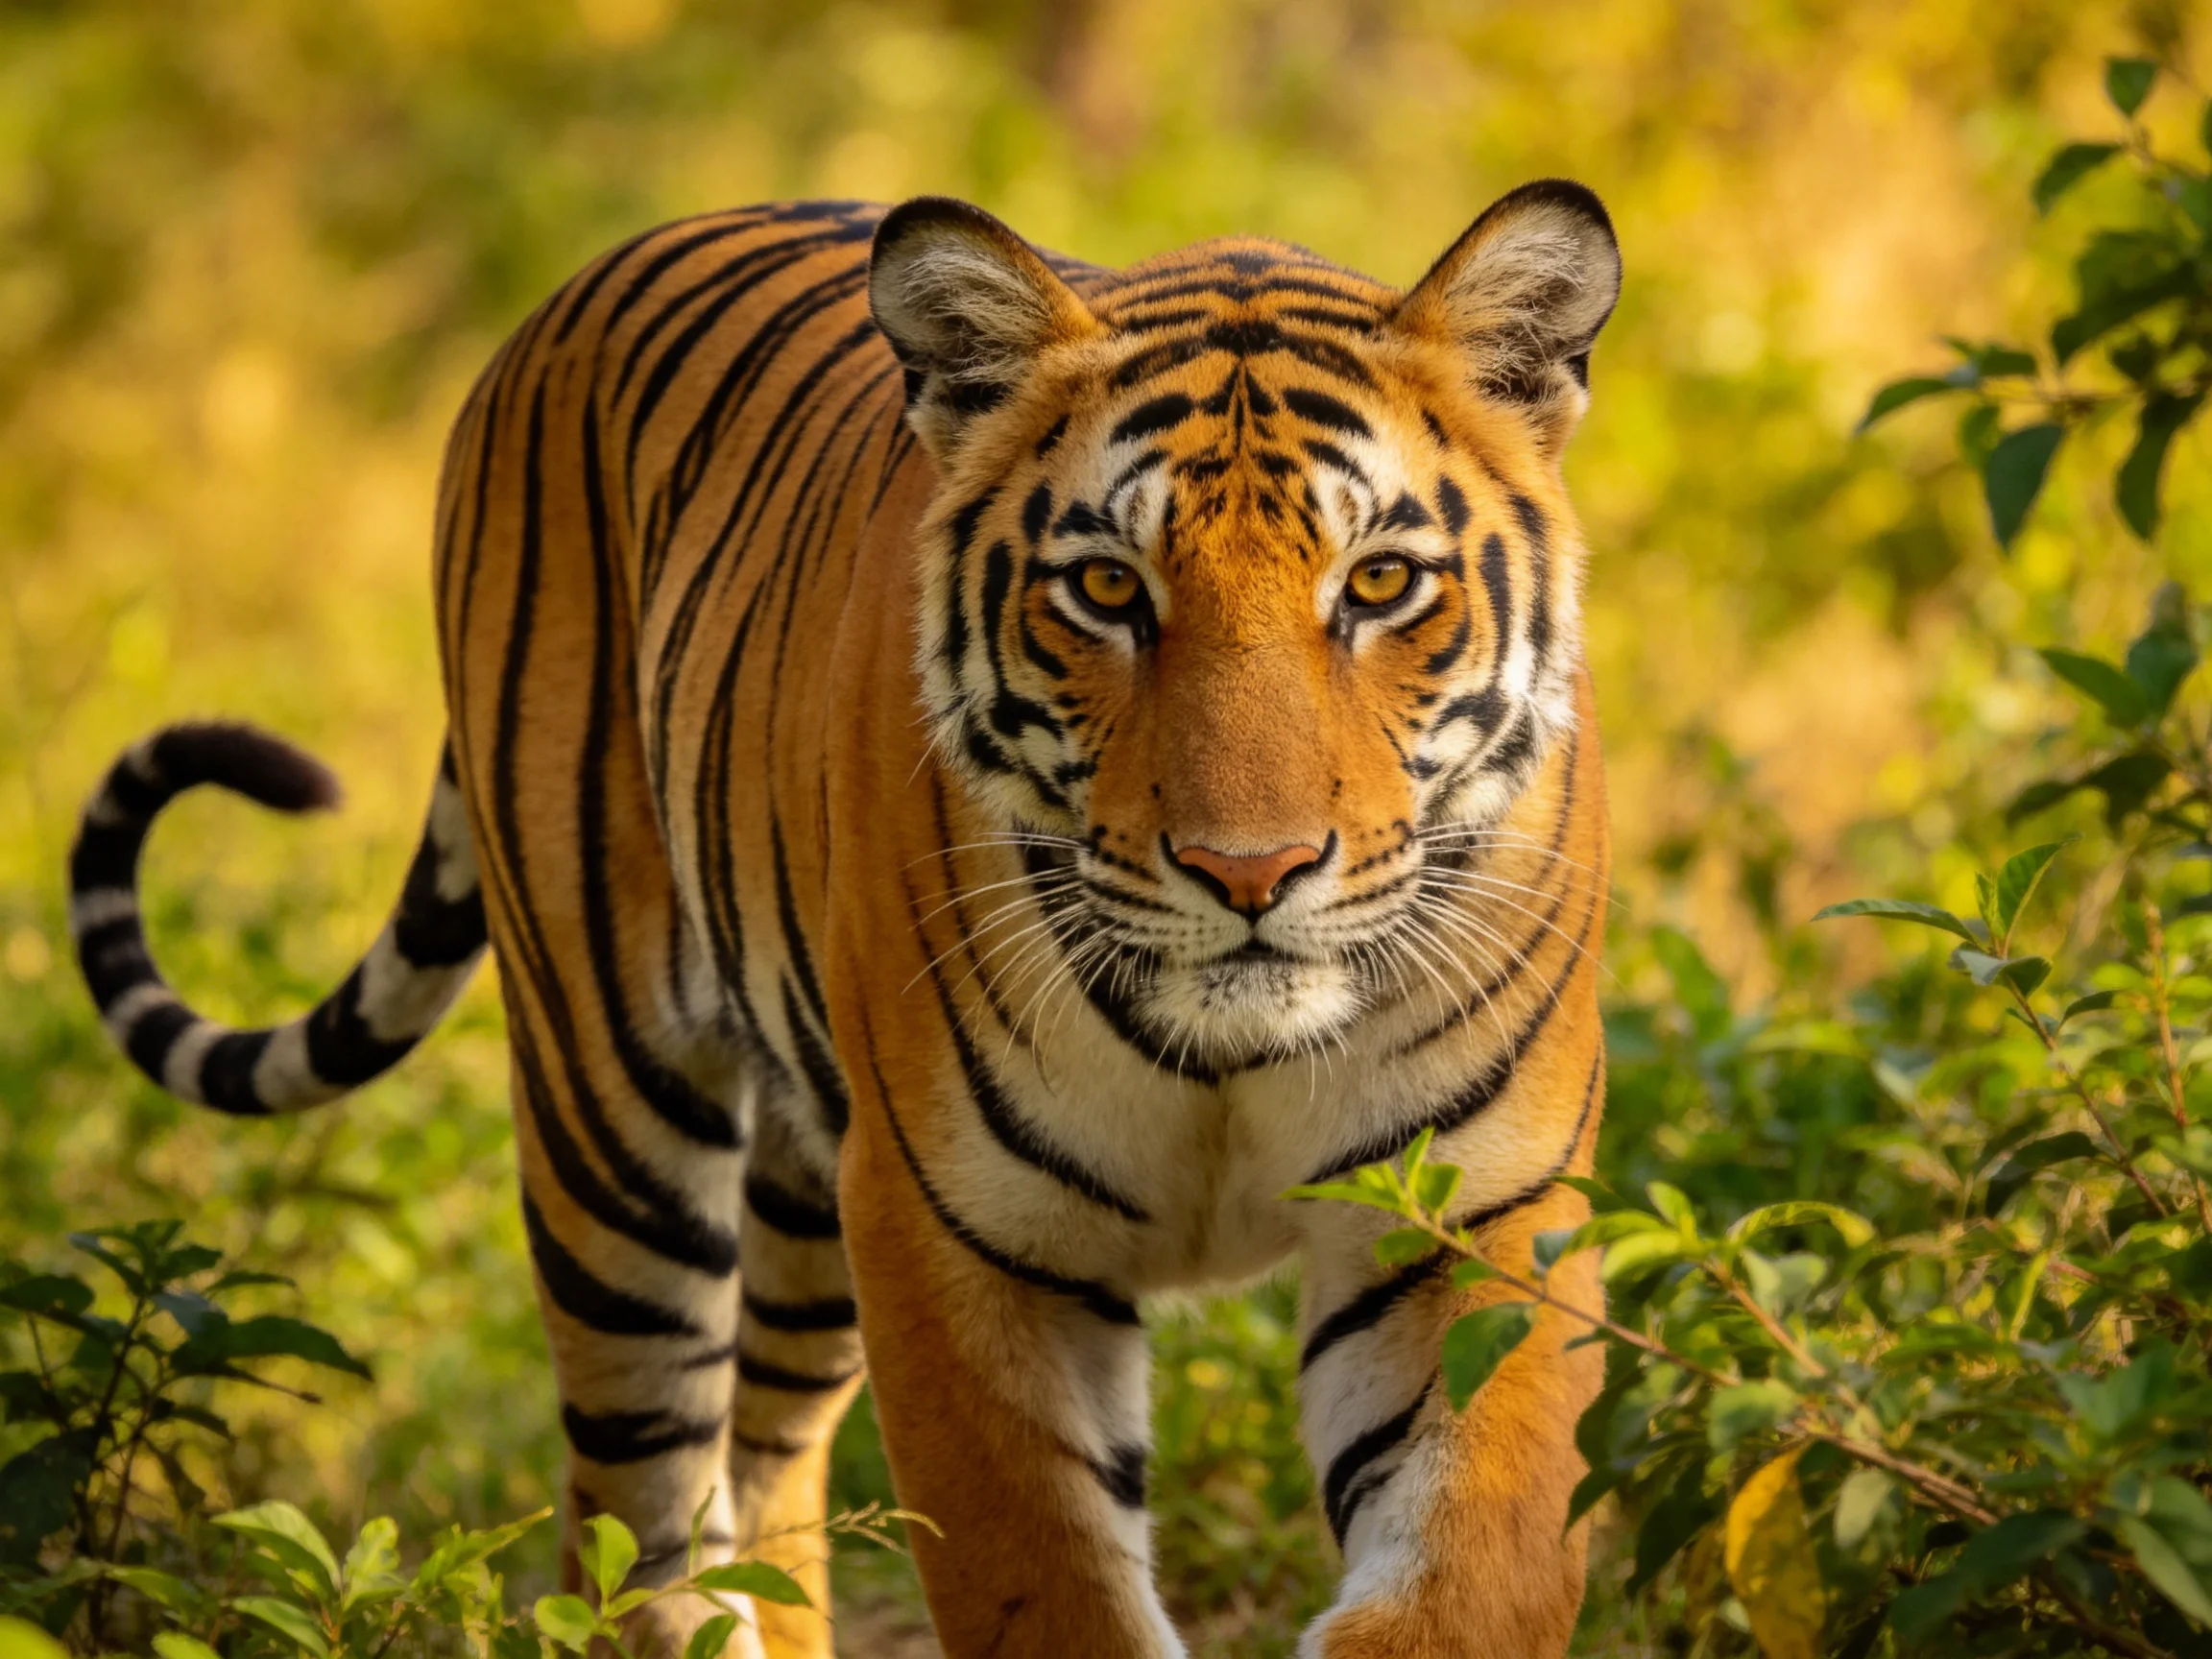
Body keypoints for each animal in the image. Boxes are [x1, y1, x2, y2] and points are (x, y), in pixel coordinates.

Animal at [70, 180, 1619, 1658]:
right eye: (1107, 587)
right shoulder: (960, 1233)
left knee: (762, 1465)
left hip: (810, 1203)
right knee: (634, 1523)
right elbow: (1043, 1586)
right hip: (613, 1120)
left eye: (1381, 582)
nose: (1252, 871)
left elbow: (1479, 1574)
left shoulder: (1480, 1206)